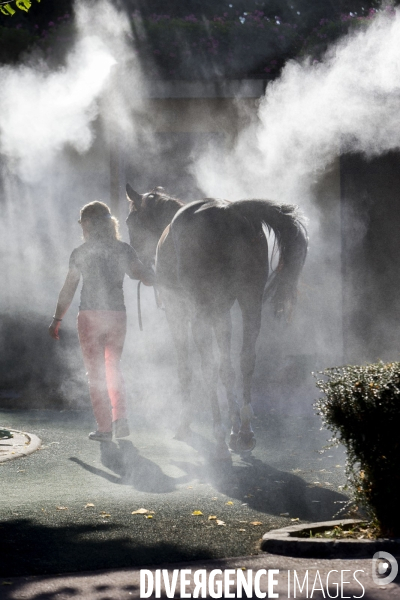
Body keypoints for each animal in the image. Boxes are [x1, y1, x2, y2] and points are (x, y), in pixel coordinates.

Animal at [126, 185, 308, 462]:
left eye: (129, 221)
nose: (141, 267)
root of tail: (229, 210)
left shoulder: (179, 313)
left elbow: (188, 368)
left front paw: (187, 425)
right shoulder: (222, 314)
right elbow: (227, 369)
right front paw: (235, 431)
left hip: (201, 312)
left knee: (207, 367)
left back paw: (219, 437)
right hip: (250, 301)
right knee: (245, 360)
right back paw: (245, 432)